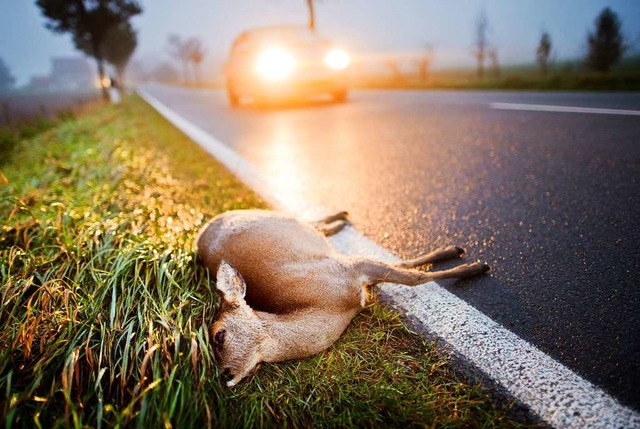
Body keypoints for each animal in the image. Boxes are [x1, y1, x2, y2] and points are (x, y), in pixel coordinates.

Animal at [196, 209, 490, 386]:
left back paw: (341, 217)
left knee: (308, 219)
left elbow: (413, 276)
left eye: (218, 335)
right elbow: (406, 269)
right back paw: (340, 220)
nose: (224, 375)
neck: (333, 307)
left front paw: (471, 265)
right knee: (313, 223)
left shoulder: (348, 268)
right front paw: (461, 259)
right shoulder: (353, 271)